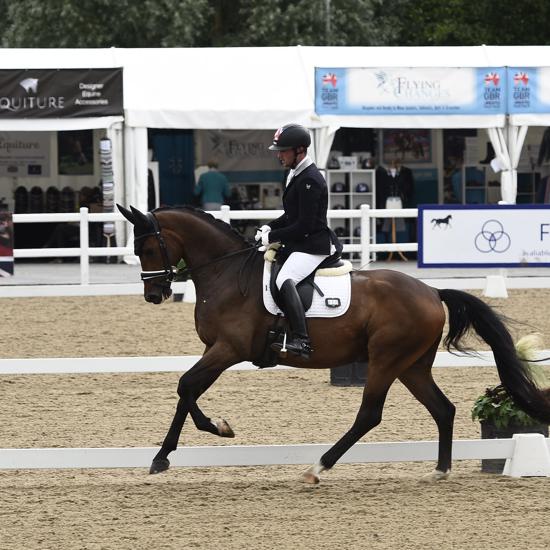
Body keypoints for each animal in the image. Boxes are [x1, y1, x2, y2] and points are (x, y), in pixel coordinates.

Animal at [119, 205, 550, 486]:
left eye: (148, 249)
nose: (154, 295)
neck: (227, 273)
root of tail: (431, 290)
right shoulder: (219, 350)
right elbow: (187, 390)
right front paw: (179, 448)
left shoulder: (228, 349)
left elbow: (186, 386)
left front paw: (199, 438)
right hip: (412, 365)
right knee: (443, 409)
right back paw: (440, 470)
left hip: (386, 360)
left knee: (369, 415)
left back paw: (317, 468)